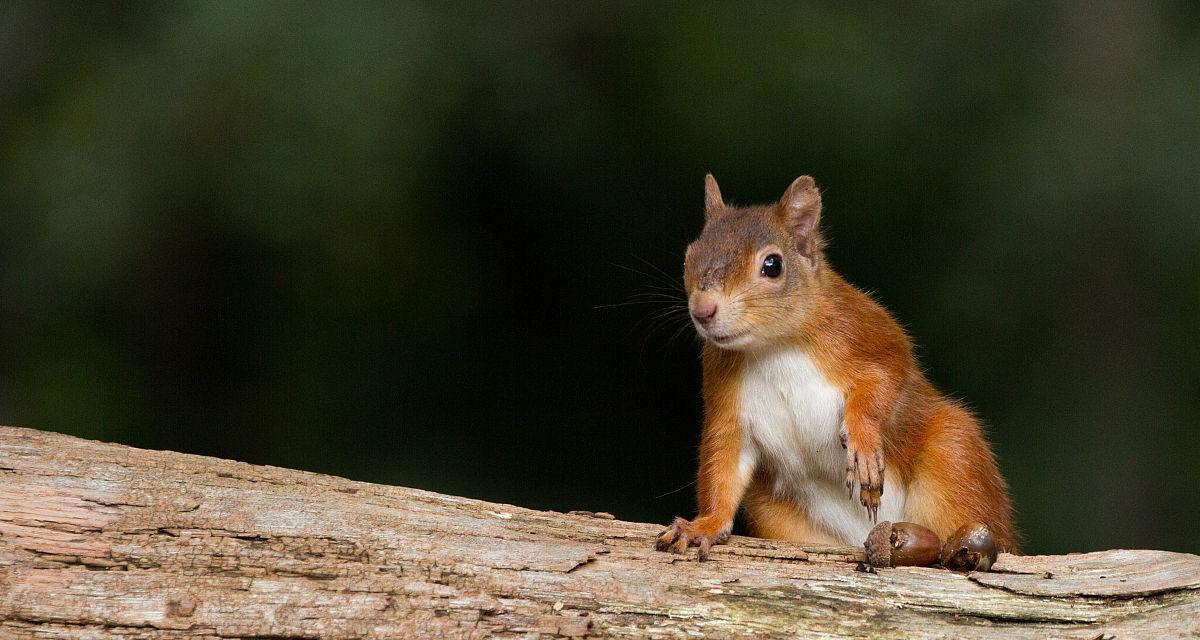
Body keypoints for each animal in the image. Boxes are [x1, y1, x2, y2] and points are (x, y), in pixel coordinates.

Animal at [657, 174, 1012, 559]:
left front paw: (864, 441)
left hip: (955, 458)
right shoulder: (726, 397)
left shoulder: (863, 330)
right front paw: (704, 525)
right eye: (689, 255)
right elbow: (723, 461)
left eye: (772, 265)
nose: (703, 310)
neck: (774, 347)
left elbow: (888, 376)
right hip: (774, 512)